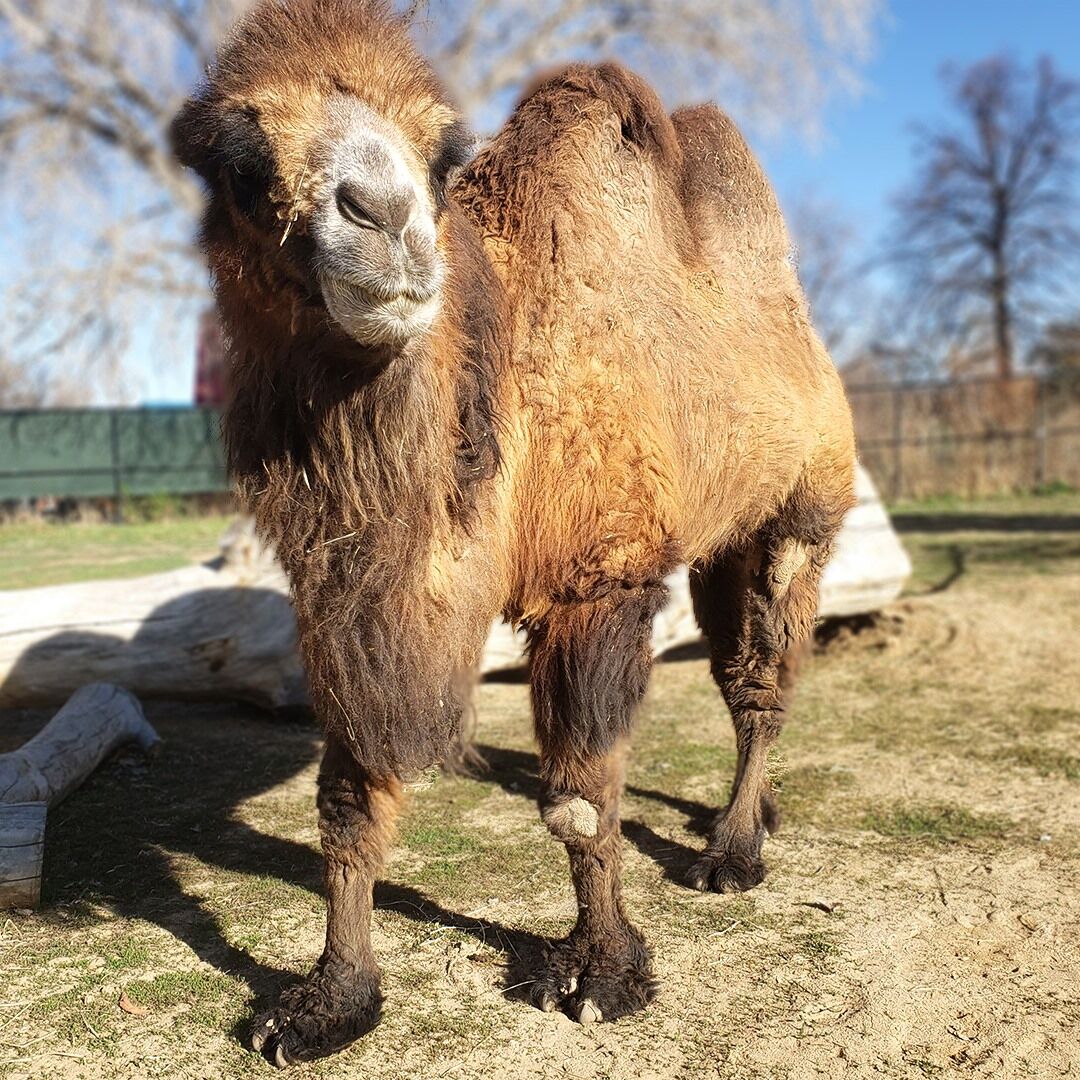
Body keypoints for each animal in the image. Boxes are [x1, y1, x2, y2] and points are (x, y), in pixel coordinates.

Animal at [171, 0, 856, 1065]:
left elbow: (580, 802)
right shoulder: (345, 598)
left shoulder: (600, 578)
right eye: (240, 164)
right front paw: (329, 1001)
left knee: (761, 679)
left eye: (442, 152)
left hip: (802, 511)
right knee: (737, 664)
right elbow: (347, 801)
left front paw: (603, 973)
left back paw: (730, 853)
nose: (386, 218)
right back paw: (759, 815)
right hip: (717, 540)